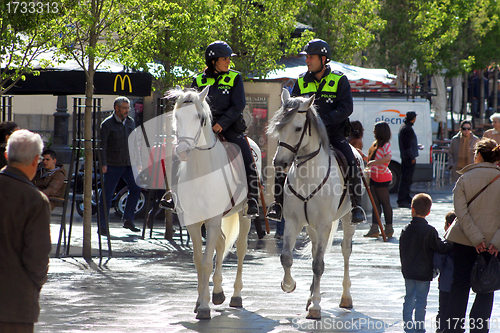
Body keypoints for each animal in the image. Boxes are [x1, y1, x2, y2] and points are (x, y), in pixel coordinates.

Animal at [170, 86, 260, 320]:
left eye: (200, 118)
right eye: (176, 117)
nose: (182, 151)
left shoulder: (211, 220)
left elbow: (206, 262)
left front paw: (203, 307)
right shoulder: (194, 223)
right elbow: (198, 261)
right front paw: (200, 301)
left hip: (243, 215)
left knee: (241, 249)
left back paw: (236, 296)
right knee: (220, 243)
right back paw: (218, 293)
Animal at [268, 88, 362, 320]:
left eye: (298, 128)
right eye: (279, 127)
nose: (279, 163)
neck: (307, 176)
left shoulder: (324, 224)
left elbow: (319, 265)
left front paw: (316, 307)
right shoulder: (293, 221)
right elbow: (286, 257)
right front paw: (289, 285)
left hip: (347, 219)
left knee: (346, 251)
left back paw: (345, 297)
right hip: (310, 226)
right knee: (312, 251)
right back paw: (310, 296)